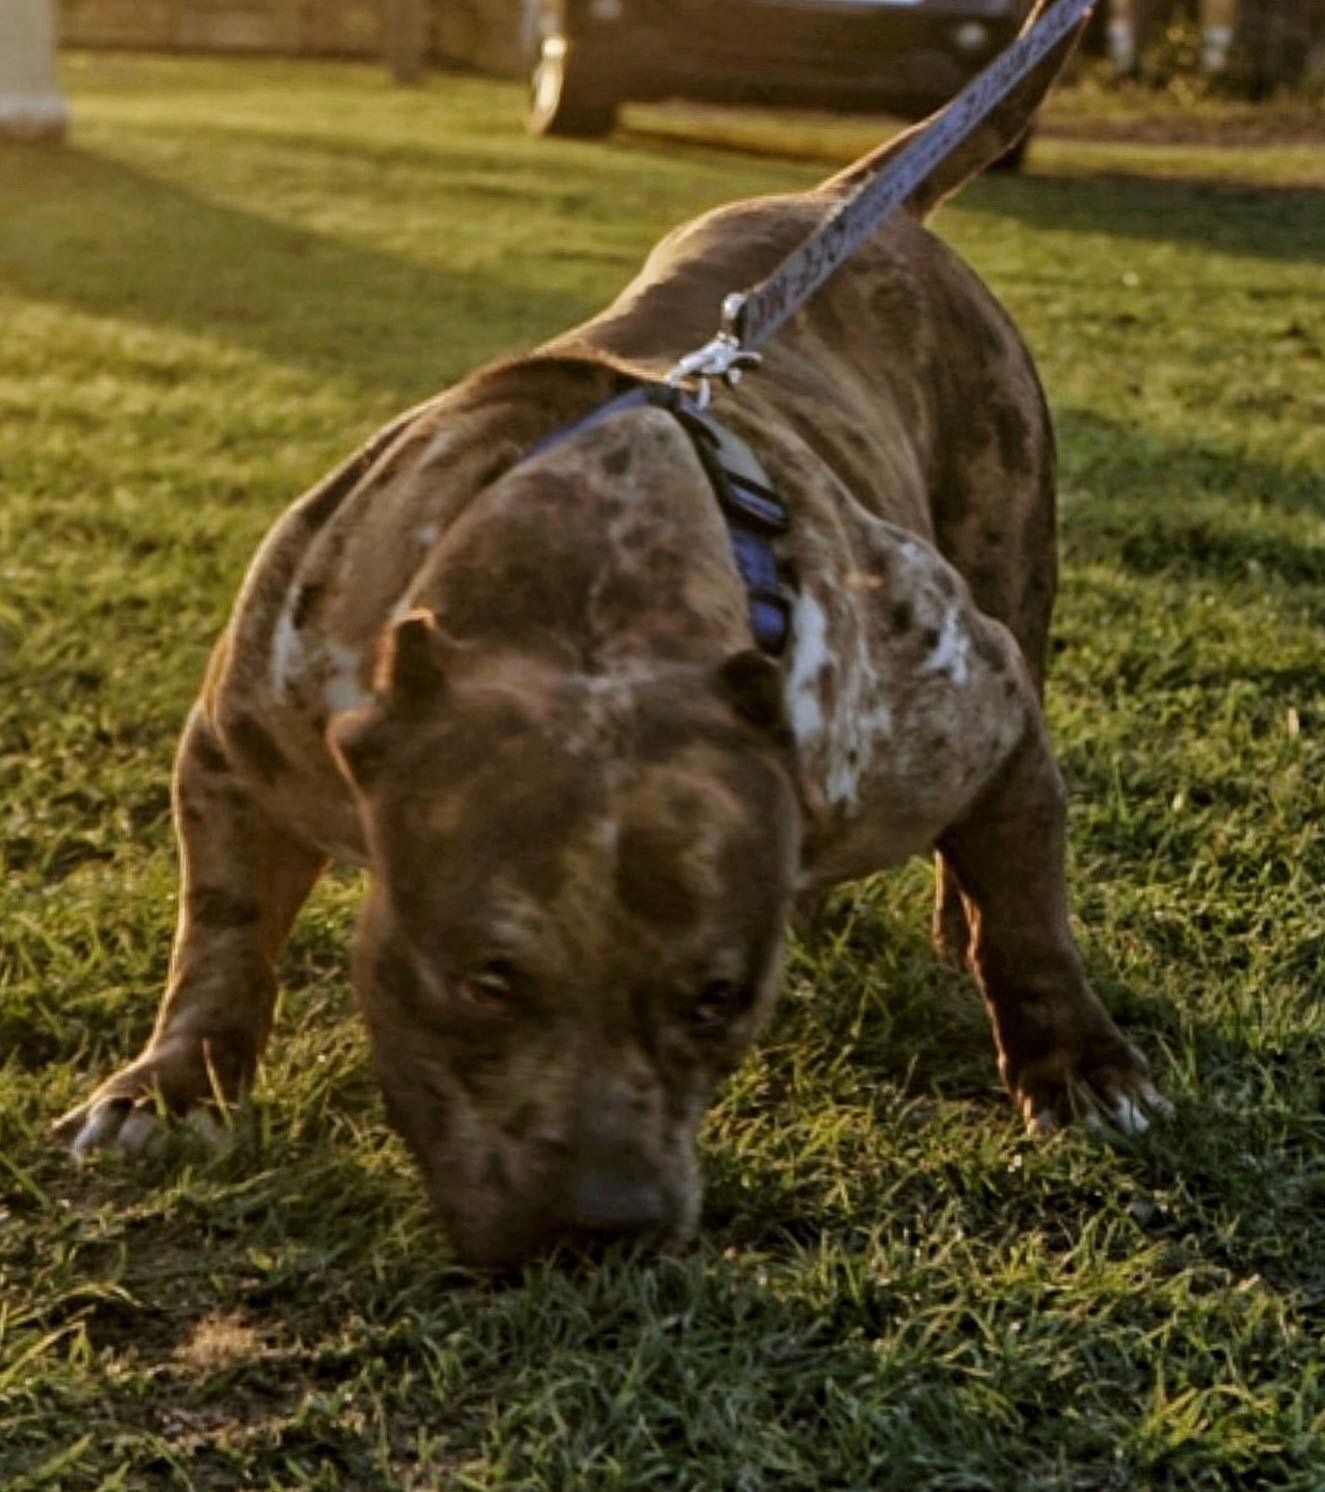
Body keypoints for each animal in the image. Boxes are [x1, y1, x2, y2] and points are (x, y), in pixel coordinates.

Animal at [57, 5, 1163, 1271]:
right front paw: (169, 1085)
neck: (589, 599)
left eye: (718, 997)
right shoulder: (241, 744)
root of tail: (845, 196)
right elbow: (223, 931)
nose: (601, 1225)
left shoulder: (969, 695)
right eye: (484, 981)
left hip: (1006, 537)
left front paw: (1075, 1061)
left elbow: (1027, 906)